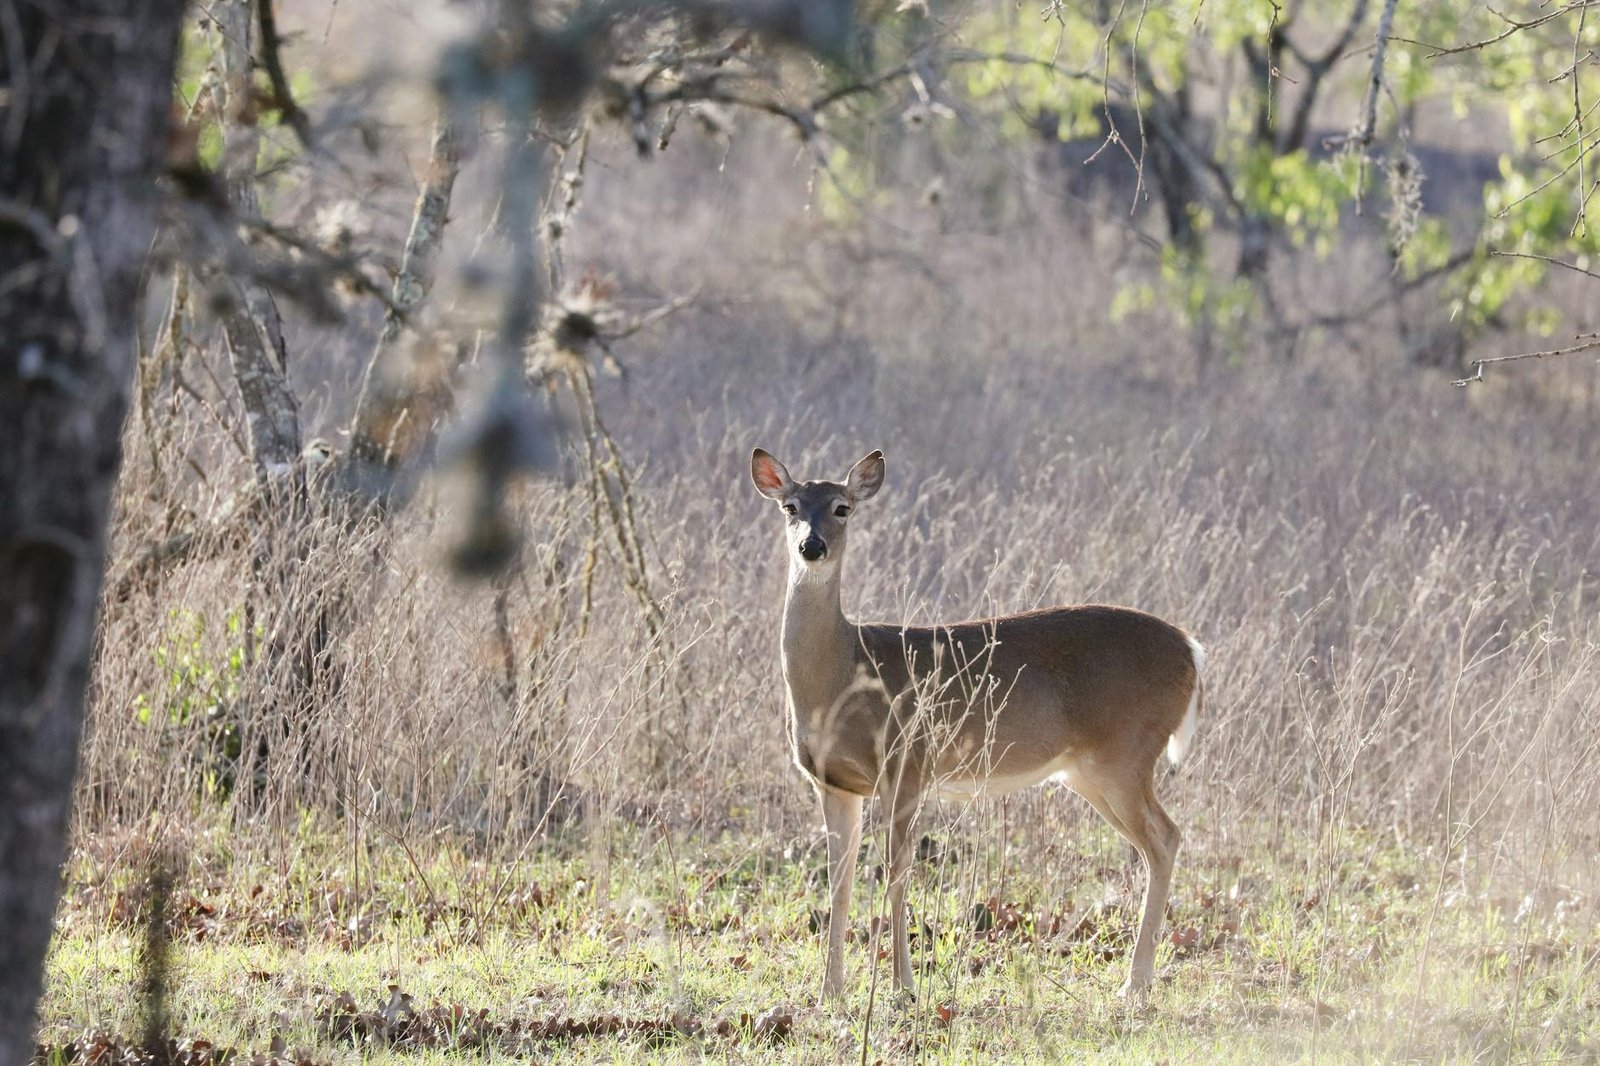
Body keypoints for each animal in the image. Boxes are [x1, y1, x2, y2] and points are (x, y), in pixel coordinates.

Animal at [750, 447, 1204, 1002]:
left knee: (1165, 839)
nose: (811, 546)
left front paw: (903, 987)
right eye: (790, 506)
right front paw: (828, 992)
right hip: (1092, 771)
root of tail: (1191, 649)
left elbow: (896, 875)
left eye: (842, 507)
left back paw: (1133, 984)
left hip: (1126, 752)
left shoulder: (908, 763)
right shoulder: (834, 783)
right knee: (1164, 838)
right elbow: (840, 882)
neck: (843, 673)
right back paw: (1138, 980)